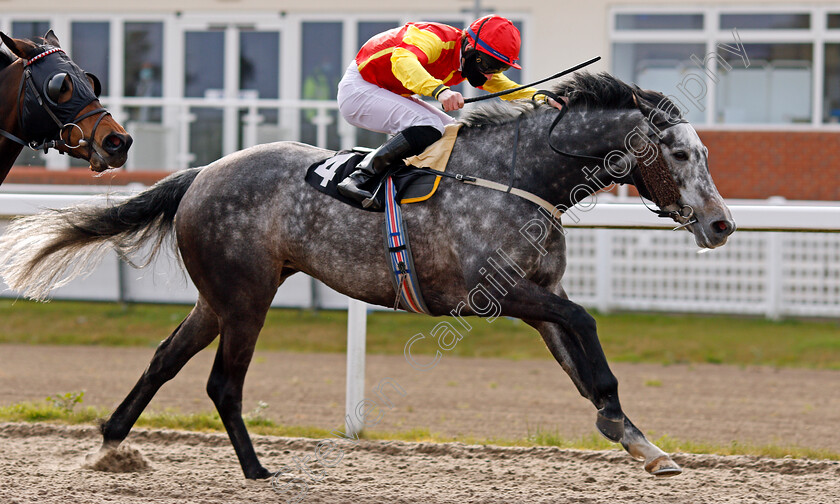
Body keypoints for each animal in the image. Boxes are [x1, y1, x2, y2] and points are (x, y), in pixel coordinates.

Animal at [0, 74, 736, 480]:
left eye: (703, 152)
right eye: (679, 153)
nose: (722, 225)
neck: (519, 177)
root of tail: (201, 172)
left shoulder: (538, 297)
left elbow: (585, 366)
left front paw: (642, 443)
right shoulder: (493, 294)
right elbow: (586, 328)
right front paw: (624, 428)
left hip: (219, 297)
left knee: (163, 360)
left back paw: (109, 445)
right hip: (247, 297)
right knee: (222, 383)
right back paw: (256, 470)